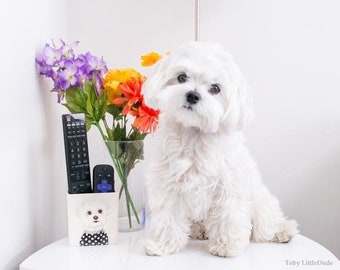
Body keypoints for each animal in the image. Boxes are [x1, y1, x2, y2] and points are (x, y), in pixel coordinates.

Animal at [141, 41, 298, 256]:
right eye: (181, 77)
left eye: (215, 88)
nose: (192, 95)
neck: (195, 133)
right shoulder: (168, 185)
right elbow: (169, 218)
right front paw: (163, 245)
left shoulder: (228, 187)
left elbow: (227, 215)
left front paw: (226, 246)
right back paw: (199, 230)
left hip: (260, 201)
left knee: (266, 225)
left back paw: (283, 231)